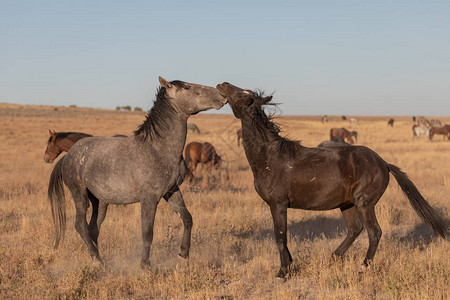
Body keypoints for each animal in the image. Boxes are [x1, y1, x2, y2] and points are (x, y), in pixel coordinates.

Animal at [47, 76, 227, 266]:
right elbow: (147, 232)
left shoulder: (171, 191)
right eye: (187, 87)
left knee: (93, 228)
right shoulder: (149, 199)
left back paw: (97, 258)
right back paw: (97, 259)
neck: (158, 149)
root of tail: (68, 155)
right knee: (80, 225)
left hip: (99, 201)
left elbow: (187, 218)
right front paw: (145, 264)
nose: (221, 94)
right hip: (79, 193)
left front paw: (183, 254)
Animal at [217, 81, 446, 278]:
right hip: (348, 204)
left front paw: (283, 272)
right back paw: (333, 257)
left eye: (243, 95)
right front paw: (290, 265)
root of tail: (384, 164)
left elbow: (280, 236)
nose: (222, 84)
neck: (270, 157)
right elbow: (282, 236)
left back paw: (362, 267)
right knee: (355, 229)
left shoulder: (278, 204)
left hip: (364, 203)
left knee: (374, 232)